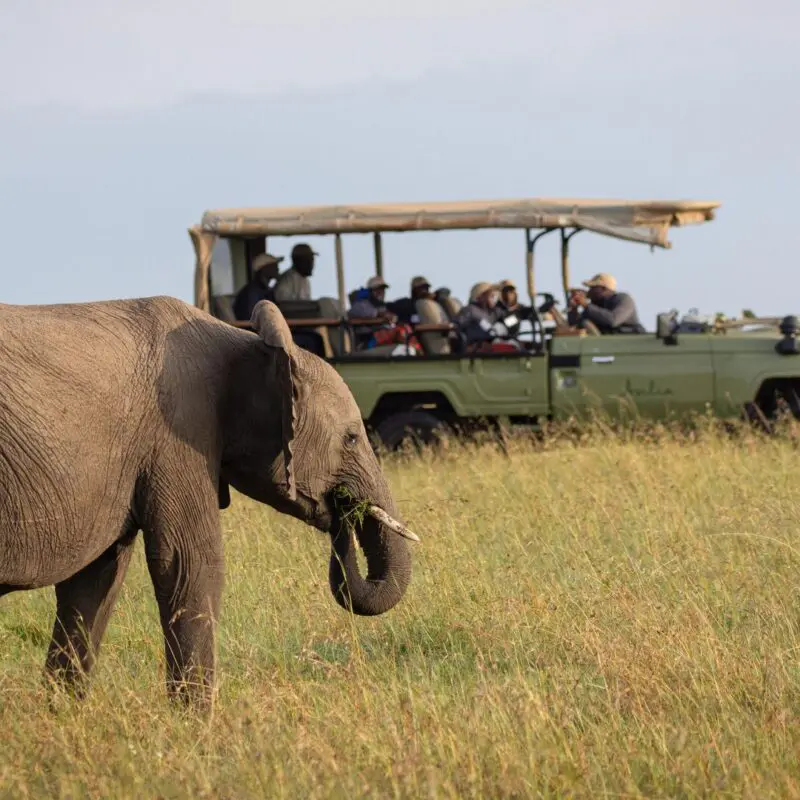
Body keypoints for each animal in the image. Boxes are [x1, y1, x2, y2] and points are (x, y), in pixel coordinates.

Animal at [0, 296, 419, 708]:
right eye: (351, 438)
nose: (344, 510)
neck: (246, 343)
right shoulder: (179, 433)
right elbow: (192, 562)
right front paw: (194, 724)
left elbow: (95, 578)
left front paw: (61, 716)